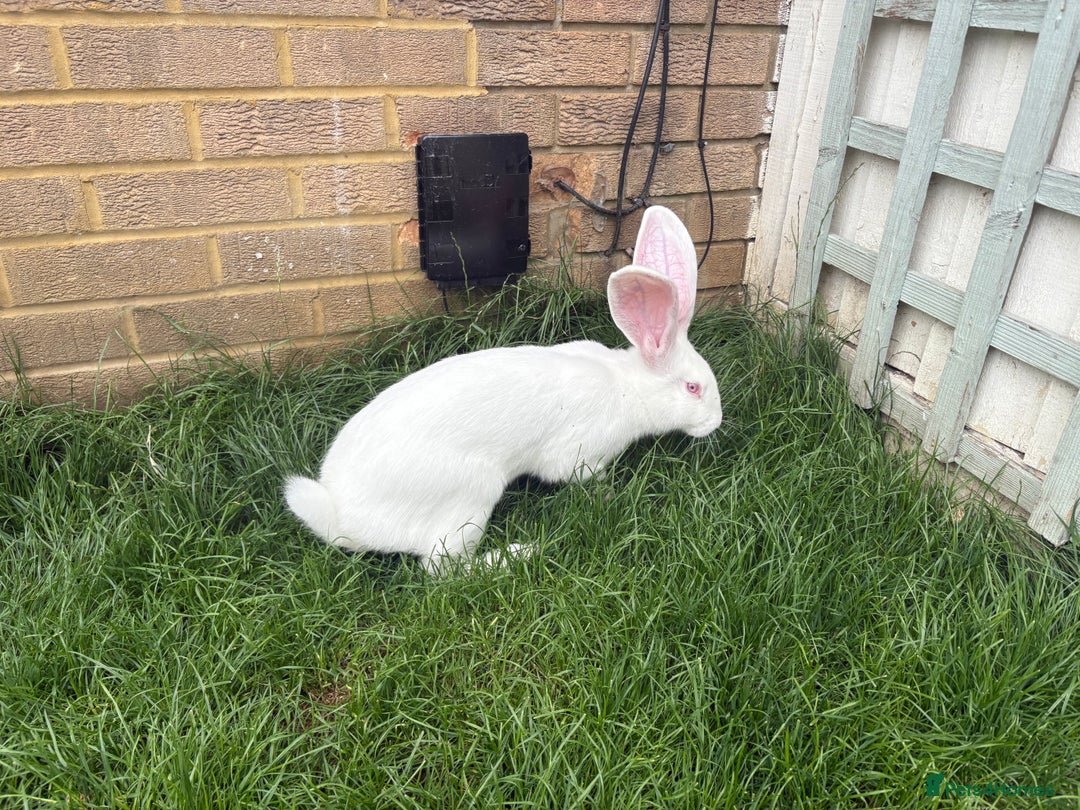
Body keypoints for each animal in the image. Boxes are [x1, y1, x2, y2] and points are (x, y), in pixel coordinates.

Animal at [284, 205, 723, 573]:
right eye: (693, 387)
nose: (716, 423)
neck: (628, 386)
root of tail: (344, 518)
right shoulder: (577, 456)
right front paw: (608, 496)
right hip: (472, 497)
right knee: (444, 569)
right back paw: (521, 553)